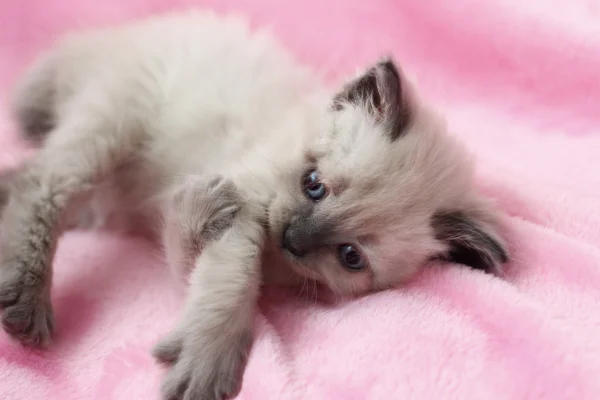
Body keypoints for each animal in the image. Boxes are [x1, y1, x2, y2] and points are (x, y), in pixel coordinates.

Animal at [0, 8, 506, 400]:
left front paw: (194, 209)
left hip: (106, 187)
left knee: (30, 179)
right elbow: (232, 277)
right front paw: (209, 358)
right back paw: (25, 301)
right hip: (114, 126)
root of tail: (110, 38)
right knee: (40, 184)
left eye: (350, 256)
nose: (292, 239)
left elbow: (191, 258)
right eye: (314, 185)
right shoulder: (243, 205)